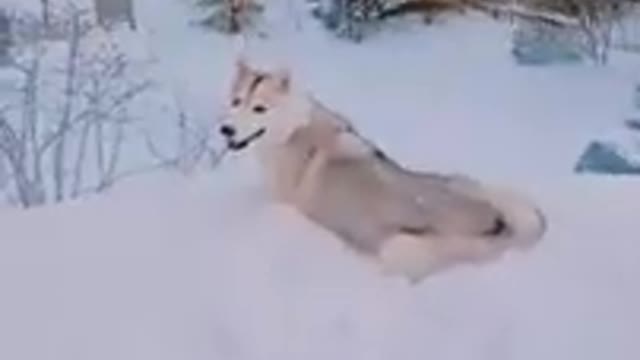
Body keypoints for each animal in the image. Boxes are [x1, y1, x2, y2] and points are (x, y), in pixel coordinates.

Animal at [219, 58, 544, 284]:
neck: (292, 130)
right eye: (236, 102)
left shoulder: (283, 203)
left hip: (398, 250)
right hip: (470, 182)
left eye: (260, 108)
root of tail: (499, 222)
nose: (226, 130)